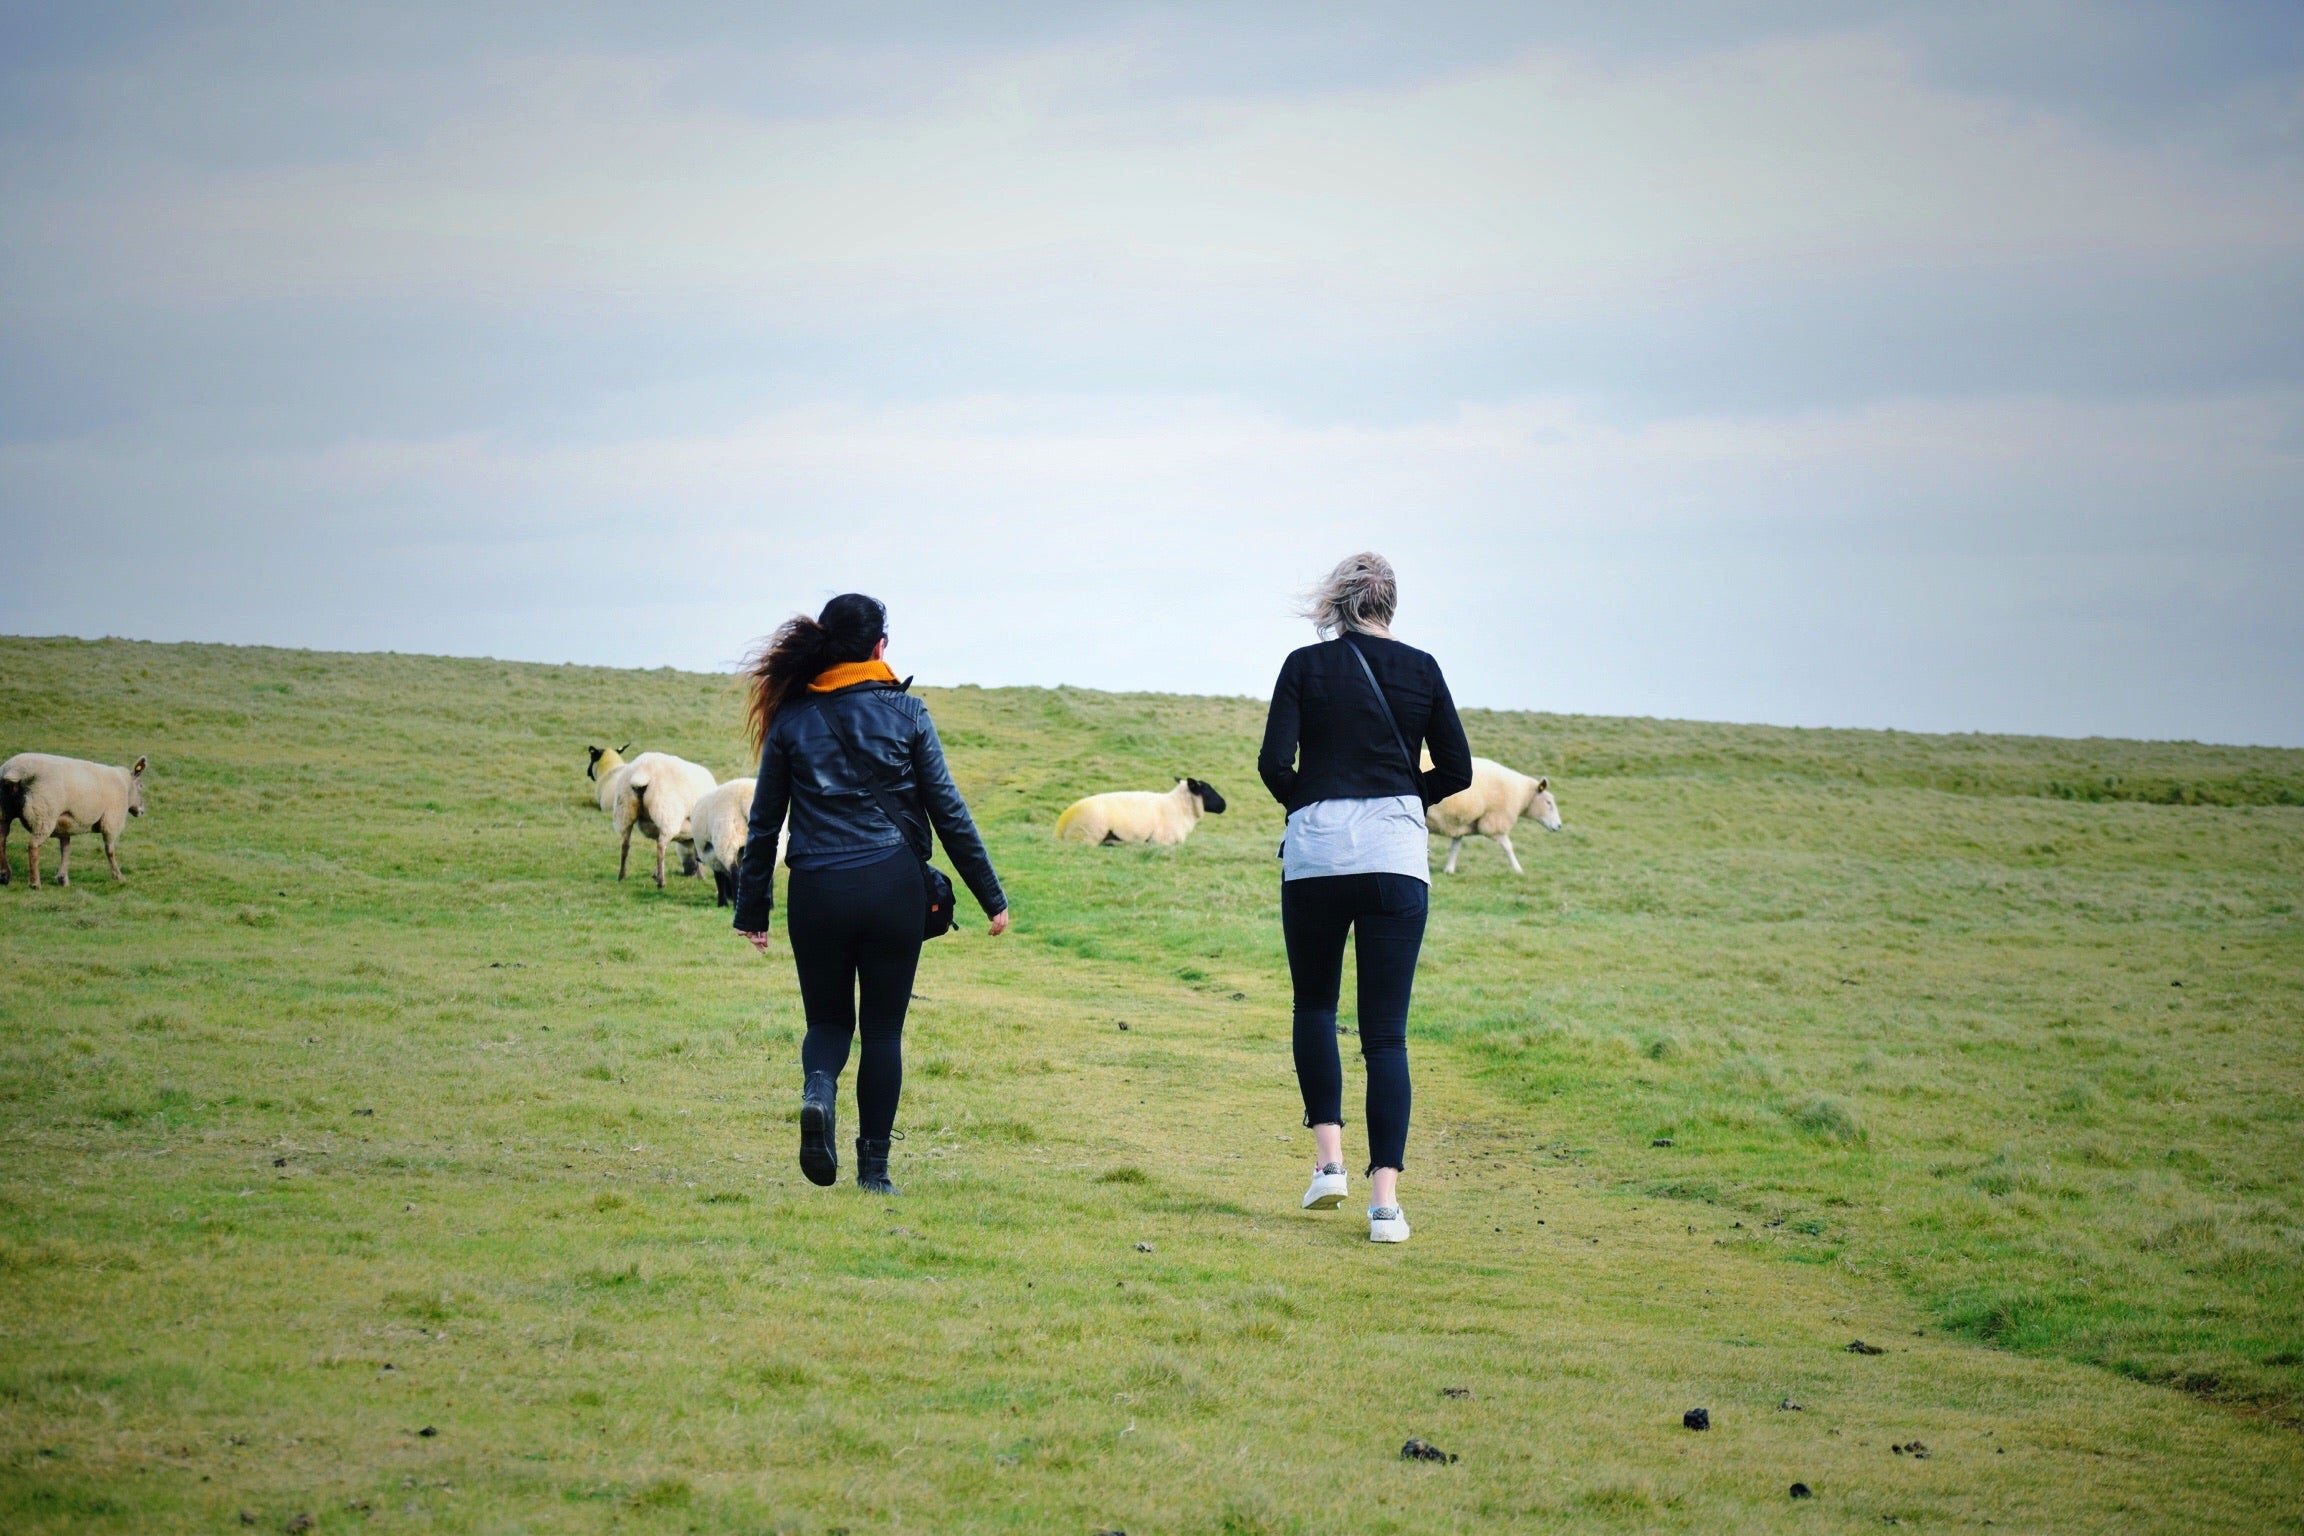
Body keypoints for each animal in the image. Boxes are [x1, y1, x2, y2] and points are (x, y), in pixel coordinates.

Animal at [1, 752, 148, 889]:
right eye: (141, 786)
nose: (142, 811)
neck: (126, 786)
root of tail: (15, 770)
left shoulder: (64, 826)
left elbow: (66, 850)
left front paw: (62, 878)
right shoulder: (111, 822)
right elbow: (110, 851)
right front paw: (118, 876)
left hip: (5, 812)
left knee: (2, 839)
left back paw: (5, 875)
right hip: (44, 814)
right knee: (33, 845)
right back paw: (34, 883)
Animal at [687, 777, 789, 907]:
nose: (729, 896)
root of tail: (746, 801)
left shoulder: (714, 858)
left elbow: (719, 878)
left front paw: (722, 903)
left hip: (727, 839)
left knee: (735, 874)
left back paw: (736, 904)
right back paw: (769, 906)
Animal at [1055, 778, 1227, 846]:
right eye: (1207, 789)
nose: (1224, 805)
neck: (1178, 807)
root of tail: (1061, 824)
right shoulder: (1162, 841)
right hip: (1087, 836)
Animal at [1421, 751, 1561, 875]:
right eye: (1548, 802)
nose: (1559, 826)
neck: (1521, 794)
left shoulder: (1460, 821)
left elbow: (1456, 846)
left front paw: (1449, 869)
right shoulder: (1493, 822)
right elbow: (1508, 846)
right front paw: (1518, 870)